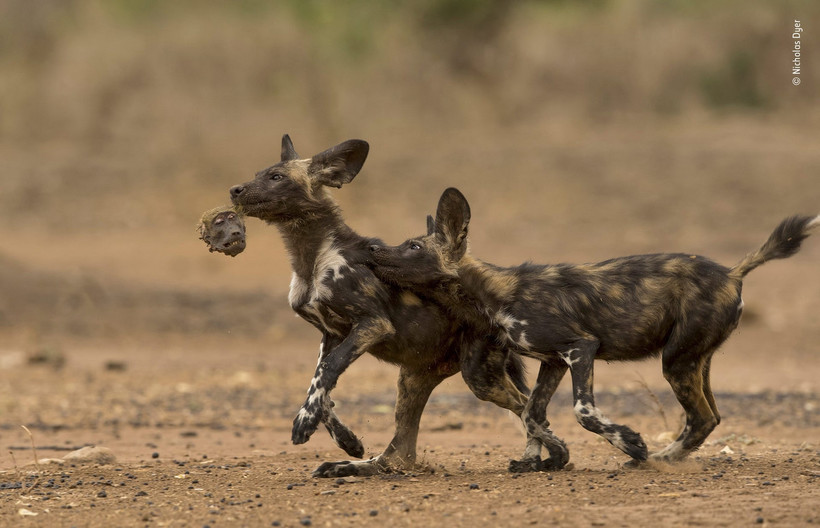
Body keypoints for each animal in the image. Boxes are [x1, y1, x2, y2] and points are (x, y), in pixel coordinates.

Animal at [229, 136, 544, 478]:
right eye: (258, 174)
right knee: (400, 454)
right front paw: (346, 439)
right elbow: (320, 384)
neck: (311, 258)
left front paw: (303, 423)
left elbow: (327, 371)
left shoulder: (372, 324)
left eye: (276, 177)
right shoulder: (332, 335)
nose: (234, 190)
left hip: (478, 377)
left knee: (527, 406)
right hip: (413, 378)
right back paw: (347, 465)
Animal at [374, 188, 820, 464]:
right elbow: (533, 414)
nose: (374, 247)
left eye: (413, 246)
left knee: (702, 418)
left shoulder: (580, 348)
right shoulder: (553, 361)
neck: (493, 294)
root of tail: (732, 272)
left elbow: (582, 411)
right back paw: (664, 458)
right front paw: (546, 457)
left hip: (675, 362)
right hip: (695, 360)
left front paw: (630, 443)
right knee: (710, 416)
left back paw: (654, 459)